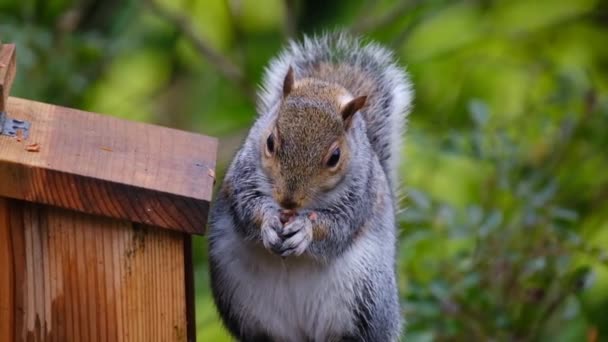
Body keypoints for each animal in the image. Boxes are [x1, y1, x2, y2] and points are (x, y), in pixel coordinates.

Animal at [208, 32, 414, 342]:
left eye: (335, 157)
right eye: (270, 142)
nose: (288, 201)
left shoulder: (360, 196)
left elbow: (338, 228)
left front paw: (305, 230)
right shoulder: (241, 177)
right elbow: (246, 207)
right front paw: (268, 221)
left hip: (364, 297)